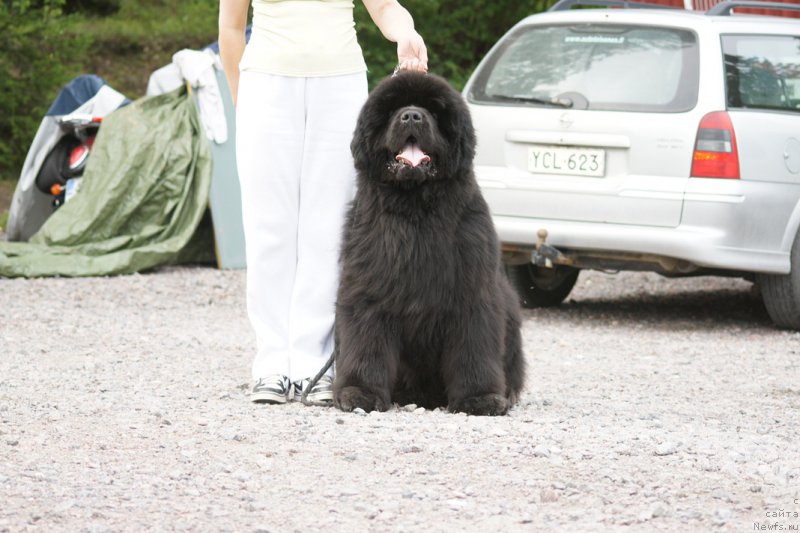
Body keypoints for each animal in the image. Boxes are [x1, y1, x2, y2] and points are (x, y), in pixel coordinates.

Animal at [332, 72, 524, 416]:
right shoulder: (367, 292)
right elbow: (365, 341)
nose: (411, 115)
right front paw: (359, 392)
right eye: (392, 110)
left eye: (434, 111)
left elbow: (474, 346)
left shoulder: (473, 293)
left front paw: (480, 398)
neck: (415, 209)